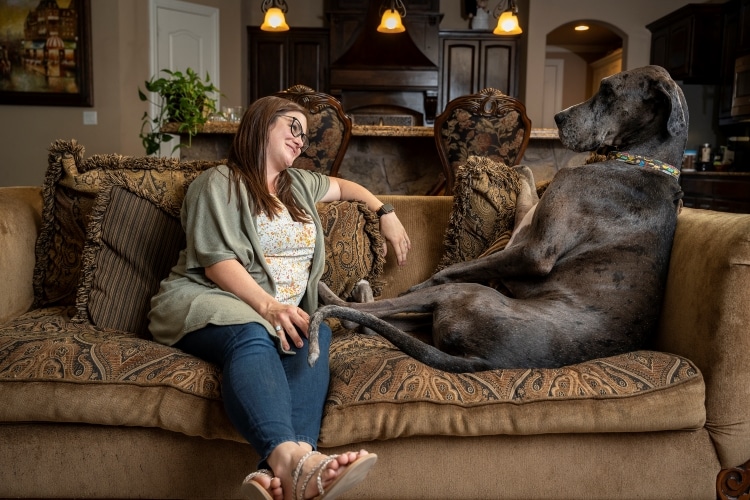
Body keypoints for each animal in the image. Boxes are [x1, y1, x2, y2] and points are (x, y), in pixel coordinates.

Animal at [308, 65, 692, 372]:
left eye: (609, 91)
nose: (558, 118)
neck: (642, 163)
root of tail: (484, 360)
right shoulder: (524, 224)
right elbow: (526, 183)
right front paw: (512, 168)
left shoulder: (534, 251)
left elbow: (450, 270)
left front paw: (422, 281)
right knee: (365, 323)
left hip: (462, 294)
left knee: (369, 310)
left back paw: (337, 291)